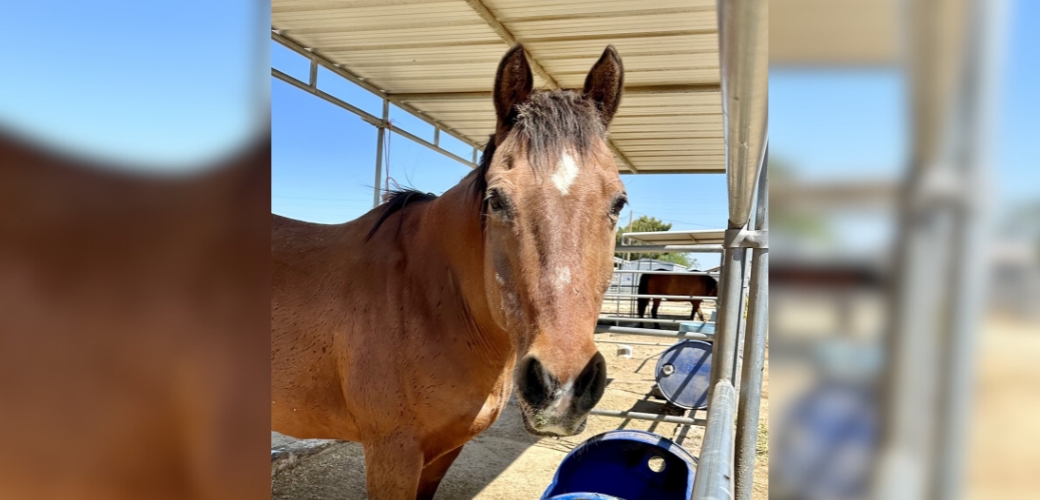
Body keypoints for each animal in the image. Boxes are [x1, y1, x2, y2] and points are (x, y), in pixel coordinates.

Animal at [271, 44, 627, 499]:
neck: (427, 298)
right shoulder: (393, 453)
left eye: (618, 202)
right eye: (496, 199)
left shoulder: (444, 451)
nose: (561, 388)